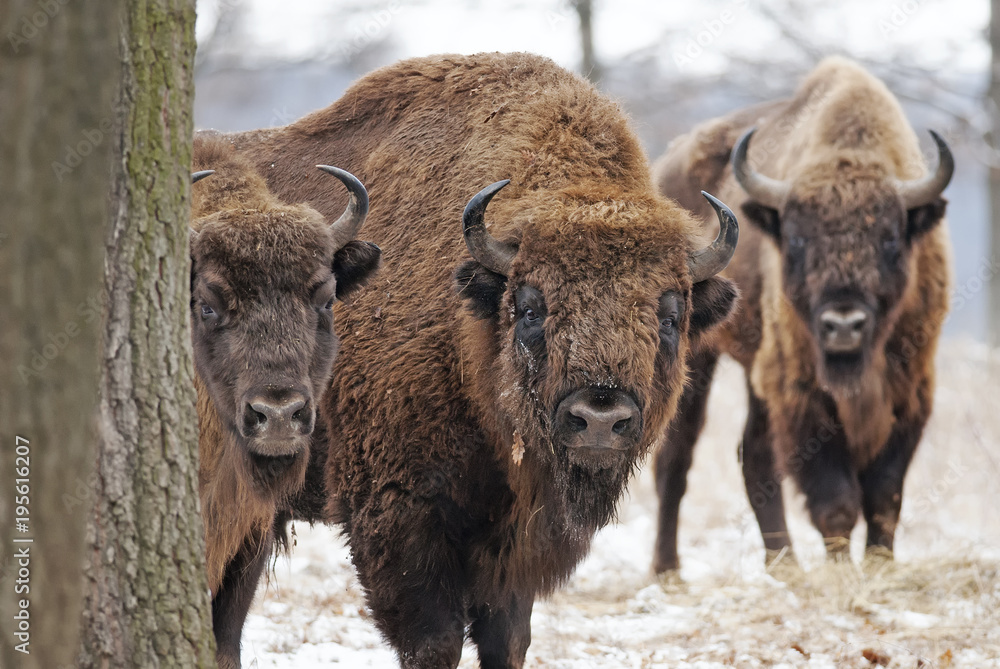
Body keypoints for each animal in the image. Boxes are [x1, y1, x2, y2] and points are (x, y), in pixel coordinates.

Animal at [650, 56, 953, 572]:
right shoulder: (803, 393)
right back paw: (668, 570)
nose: (843, 326)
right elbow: (836, 501)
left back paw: (785, 565)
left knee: (753, 457)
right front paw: (842, 575)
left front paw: (880, 568)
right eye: (795, 239)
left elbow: (885, 495)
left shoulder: (912, 391)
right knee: (677, 455)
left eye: (891, 238)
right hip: (696, 357)